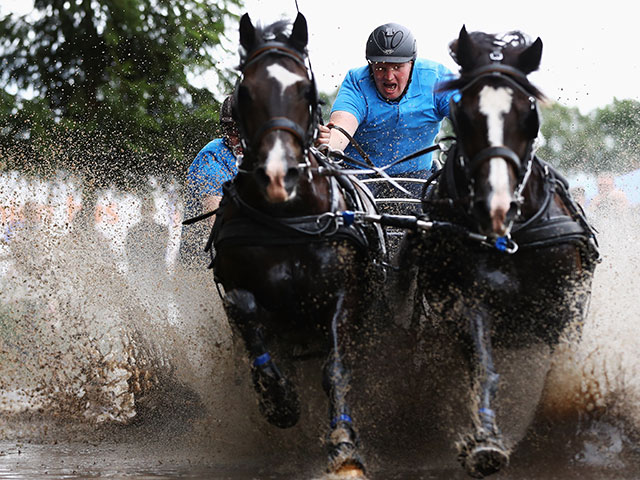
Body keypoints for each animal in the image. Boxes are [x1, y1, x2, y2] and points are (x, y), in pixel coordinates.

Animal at [210, 13, 382, 478]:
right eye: (245, 90)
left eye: (306, 90)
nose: (277, 174)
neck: (288, 218)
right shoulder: (239, 285)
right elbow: (246, 314)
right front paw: (279, 399)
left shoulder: (345, 293)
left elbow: (336, 367)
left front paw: (344, 444)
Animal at [396, 28, 600, 478]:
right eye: (463, 113)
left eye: (529, 113)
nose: (497, 207)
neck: (512, 238)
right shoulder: (469, 300)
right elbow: (483, 366)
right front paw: (485, 442)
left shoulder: (565, 308)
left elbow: (557, 377)